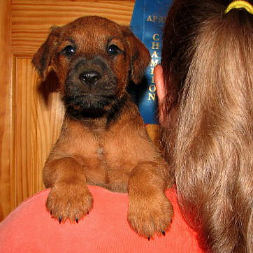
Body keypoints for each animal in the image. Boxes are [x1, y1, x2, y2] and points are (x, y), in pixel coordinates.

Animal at [32, 16, 173, 239]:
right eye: (69, 50)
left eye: (113, 49)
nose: (90, 76)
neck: (99, 127)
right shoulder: (52, 163)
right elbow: (68, 163)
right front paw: (69, 197)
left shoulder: (157, 163)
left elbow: (142, 171)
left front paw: (150, 211)